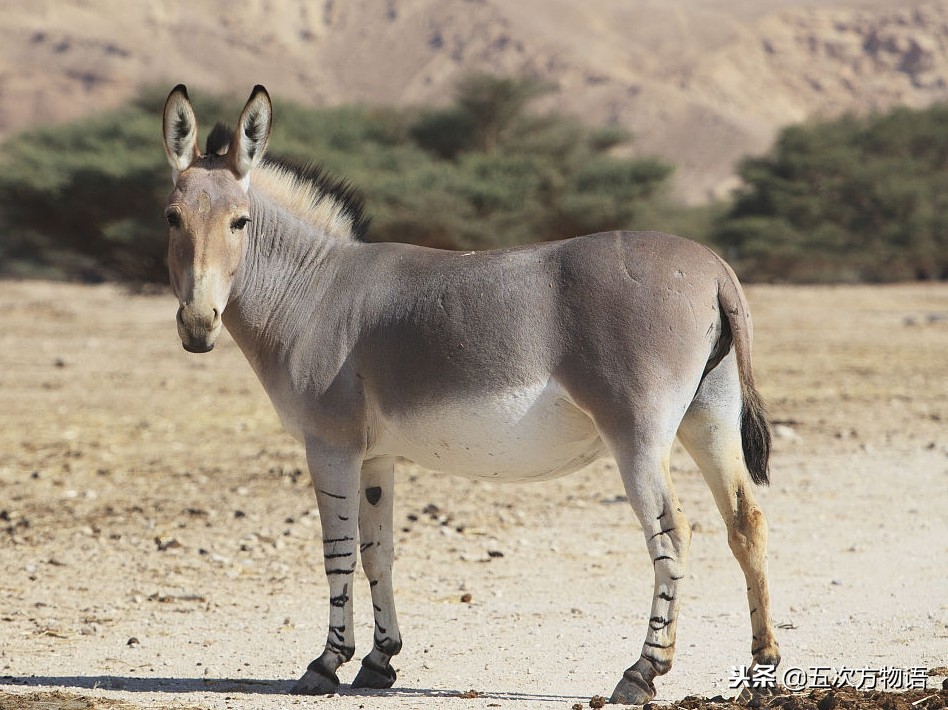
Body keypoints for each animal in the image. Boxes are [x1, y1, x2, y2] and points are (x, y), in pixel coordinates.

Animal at [160, 84, 780, 704]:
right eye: (172, 218)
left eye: (240, 222)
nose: (197, 327)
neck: (311, 292)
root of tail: (715, 267)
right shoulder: (375, 455)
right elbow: (377, 552)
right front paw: (380, 661)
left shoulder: (330, 445)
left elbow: (337, 553)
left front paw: (326, 665)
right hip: (709, 417)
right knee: (745, 521)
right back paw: (764, 662)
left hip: (639, 433)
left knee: (673, 534)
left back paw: (642, 671)